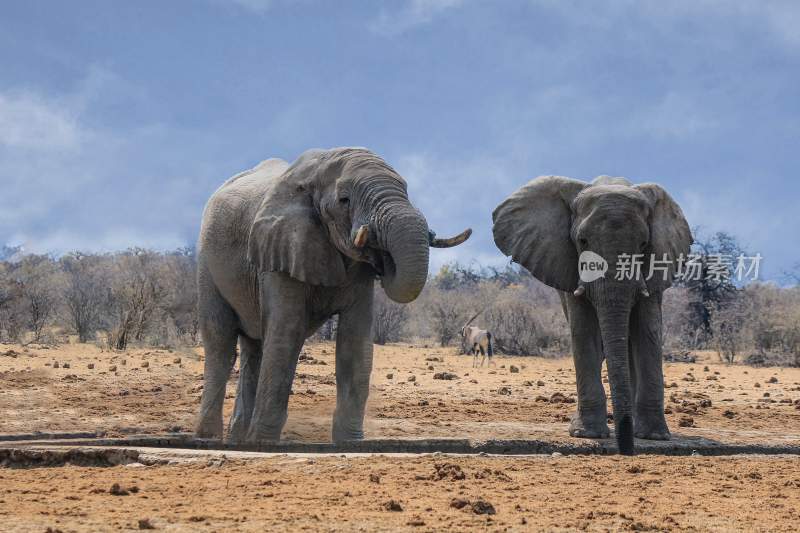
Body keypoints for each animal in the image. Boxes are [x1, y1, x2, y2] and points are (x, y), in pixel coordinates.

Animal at [194, 148, 468, 442]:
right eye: (344, 200)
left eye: (406, 191)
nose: (382, 256)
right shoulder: (279, 249)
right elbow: (287, 332)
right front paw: (264, 441)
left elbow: (355, 339)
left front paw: (351, 442)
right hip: (206, 262)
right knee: (220, 342)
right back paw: (210, 438)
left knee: (252, 349)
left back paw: (238, 439)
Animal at [490, 175, 692, 454]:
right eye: (582, 241)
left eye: (643, 244)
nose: (626, 451)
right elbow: (584, 331)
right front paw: (587, 435)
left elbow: (647, 332)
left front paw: (655, 437)